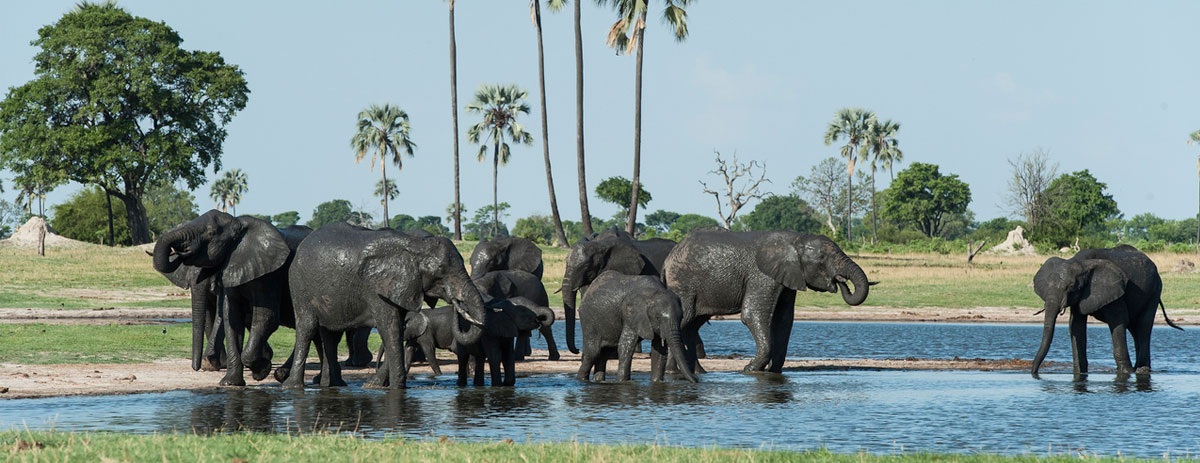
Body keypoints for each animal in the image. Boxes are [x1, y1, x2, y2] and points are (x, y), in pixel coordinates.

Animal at [153, 210, 305, 386]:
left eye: (211, 233)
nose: (196, 368)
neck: (237, 224)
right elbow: (230, 316)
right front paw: (229, 382)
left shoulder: (269, 275)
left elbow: (266, 318)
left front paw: (261, 370)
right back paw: (281, 373)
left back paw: (280, 373)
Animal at [283, 223, 487, 389]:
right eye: (441, 270)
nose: (457, 303)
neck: (416, 247)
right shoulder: (377, 288)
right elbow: (390, 329)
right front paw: (396, 389)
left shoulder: (403, 288)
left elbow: (398, 330)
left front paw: (373, 385)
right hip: (299, 285)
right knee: (307, 327)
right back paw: (293, 387)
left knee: (331, 335)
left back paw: (333, 385)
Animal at [662, 230, 871, 373]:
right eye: (822, 258)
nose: (840, 281)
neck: (796, 241)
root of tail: (668, 259)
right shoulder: (762, 276)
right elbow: (752, 314)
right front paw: (750, 369)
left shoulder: (787, 279)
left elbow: (784, 320)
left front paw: (772, 371)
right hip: (683, 283)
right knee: (684, 320)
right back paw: (674, 372)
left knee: (691, 325)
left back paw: (695, 372)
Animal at [1031, 245, 1183, 377]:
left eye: (1071, 287)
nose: (1034, 372)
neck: (1080, 262)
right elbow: (1076, 326)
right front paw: (1080, 373)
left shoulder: (1114, 288)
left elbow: (1118, 321)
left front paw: (1126, 373)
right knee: (1134, 328)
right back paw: (1139, 369)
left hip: (1155, 290)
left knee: (1143, 326)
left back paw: (1141, 369)